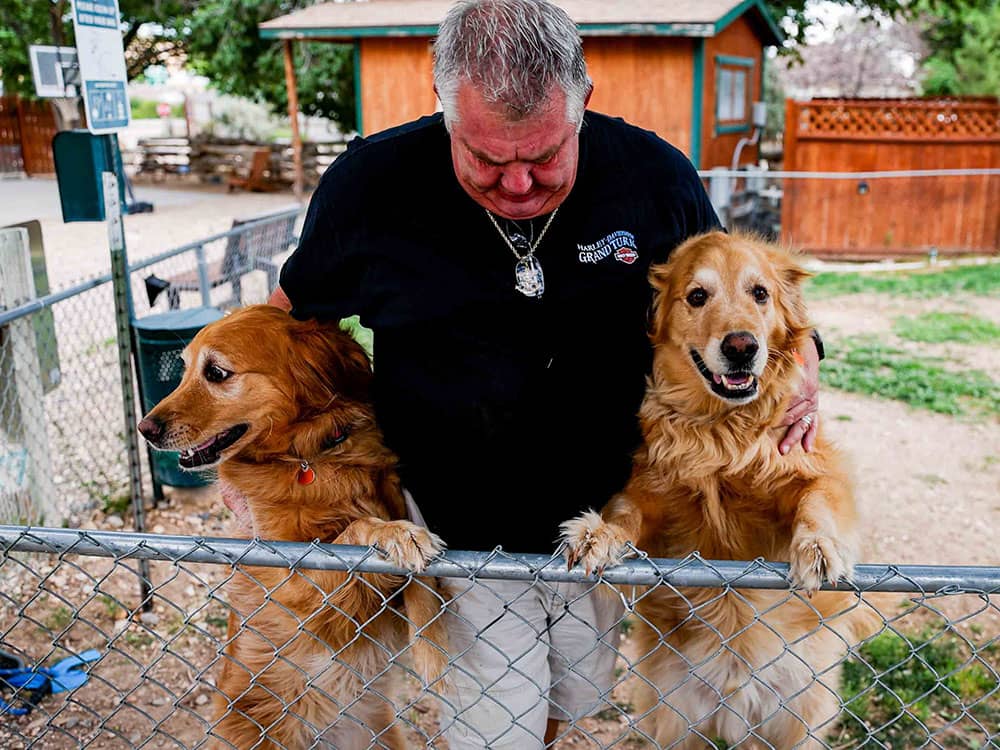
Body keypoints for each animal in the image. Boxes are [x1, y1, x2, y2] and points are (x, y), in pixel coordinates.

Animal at [137, 305, 448, 750]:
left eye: (215, 372)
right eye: (184, 371)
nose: (145, 428)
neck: (310, 458)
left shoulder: (396, 496)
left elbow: (421, 584)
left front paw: (432, 655)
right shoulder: (293, 582)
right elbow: (357, 528)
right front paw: (394, 534)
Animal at [561, 232, 876, 748]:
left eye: (760, 293)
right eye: (697, 296)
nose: (741, 346)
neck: (723, 431)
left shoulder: (814, 467)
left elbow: (817, 501)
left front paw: (818, 547)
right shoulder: (652, 491)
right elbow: (626, 512)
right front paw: (598, 535)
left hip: (795, 718)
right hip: (676, 716)